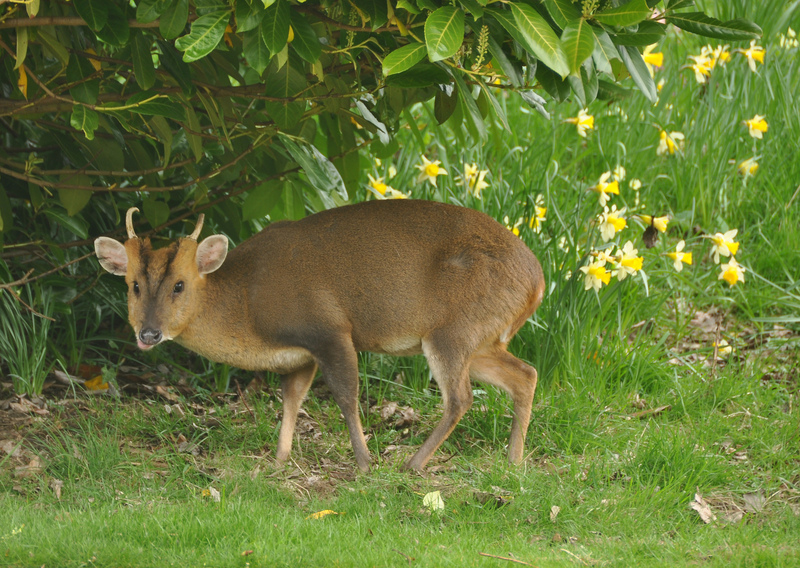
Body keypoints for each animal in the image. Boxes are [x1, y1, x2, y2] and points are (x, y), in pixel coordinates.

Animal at [92, 200, 544, 470]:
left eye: (180, 285)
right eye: (133, 285)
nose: (149, 333)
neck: (248, 303)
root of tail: (537, 282)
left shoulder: (329, 328)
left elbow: (346, 395)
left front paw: (364, 463)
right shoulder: (300, 356)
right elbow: (291, 401)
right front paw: (279, 460)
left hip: (454, 329)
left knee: (461, 397)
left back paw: (413, 464)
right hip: (483, 338)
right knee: (526, 374)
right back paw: (513, 461)